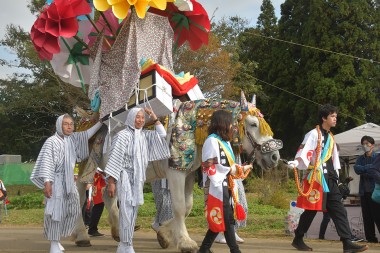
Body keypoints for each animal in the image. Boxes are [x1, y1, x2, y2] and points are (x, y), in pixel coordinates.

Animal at [70, 98, 282, 251]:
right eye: (253, 124)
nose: (274, 156)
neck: (190, 125)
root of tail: (84, 119)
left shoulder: (187, 174)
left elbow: (187, 206)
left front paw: (164, 234)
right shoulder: (175, 172)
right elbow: (179, 206)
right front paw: (185, 242)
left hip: (110, 169)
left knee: (108, 196)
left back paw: (117, 232)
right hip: (86, 164)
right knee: (79, 195)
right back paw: (81, 235)